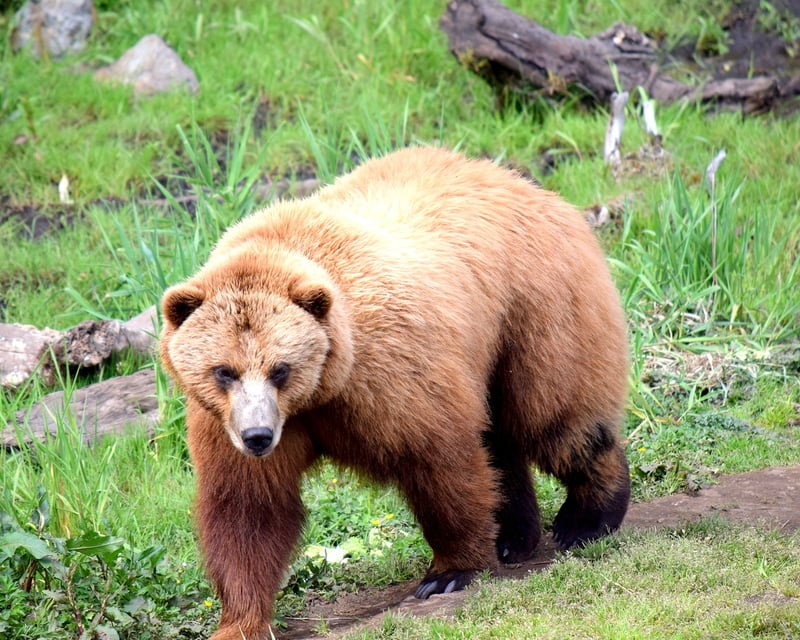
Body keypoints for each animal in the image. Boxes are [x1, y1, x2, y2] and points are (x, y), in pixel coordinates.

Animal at [160, 146, 631, 640]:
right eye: (224, 371)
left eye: (280, 369)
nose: (257, 437)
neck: (320, 393)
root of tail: (527, 184)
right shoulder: (224, 422)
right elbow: (248, 510)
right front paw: (240, 620)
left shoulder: (389, 375)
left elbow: (439, 459)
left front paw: (449, 571)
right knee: (502, 440)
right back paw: (514, 536)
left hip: (534, 310)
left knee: (555, 418)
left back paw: (587, 519)